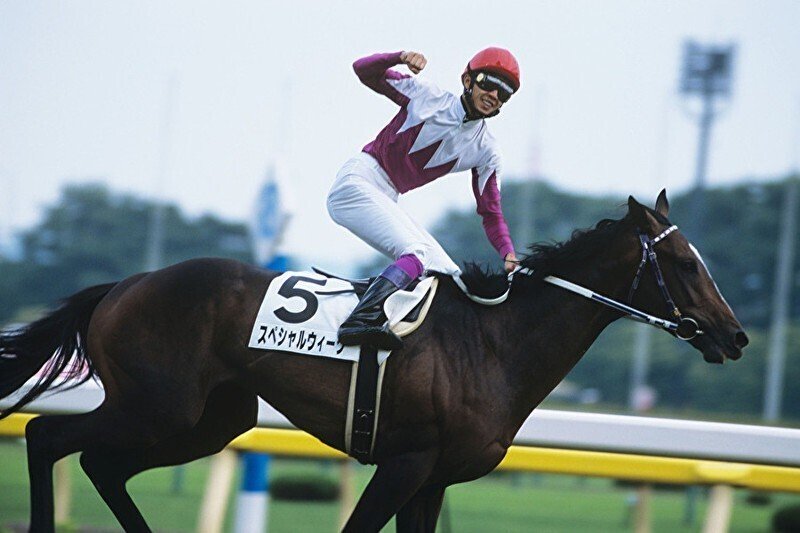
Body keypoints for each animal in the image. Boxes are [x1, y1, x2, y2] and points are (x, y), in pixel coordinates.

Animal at [0, 191, 748, 532]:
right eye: (686, 264)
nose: (736, 336)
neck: (492, 343)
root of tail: (122, 286)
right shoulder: (406, 462)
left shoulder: (435, 479)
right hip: (158, 407)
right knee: (47, 435)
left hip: (209, 420)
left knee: (100, 463)